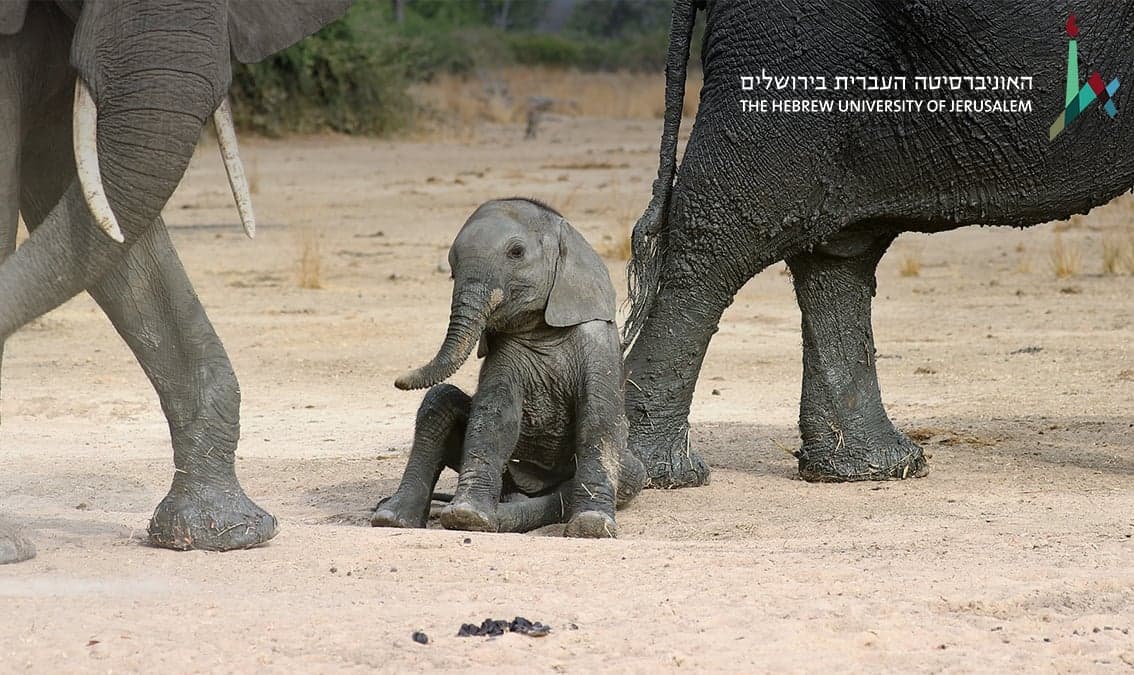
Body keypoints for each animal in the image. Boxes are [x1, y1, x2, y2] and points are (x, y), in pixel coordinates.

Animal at [372, 198, 645, 538]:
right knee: (439, 402)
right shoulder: (503, 352)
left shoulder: (598, 343)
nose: (398, 380)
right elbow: (496, 414)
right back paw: (392, 517)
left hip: (630, 472)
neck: (541, 329)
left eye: (516, 253)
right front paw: (468, 518)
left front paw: (591, 528)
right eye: (451, 268)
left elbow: (598, 418)